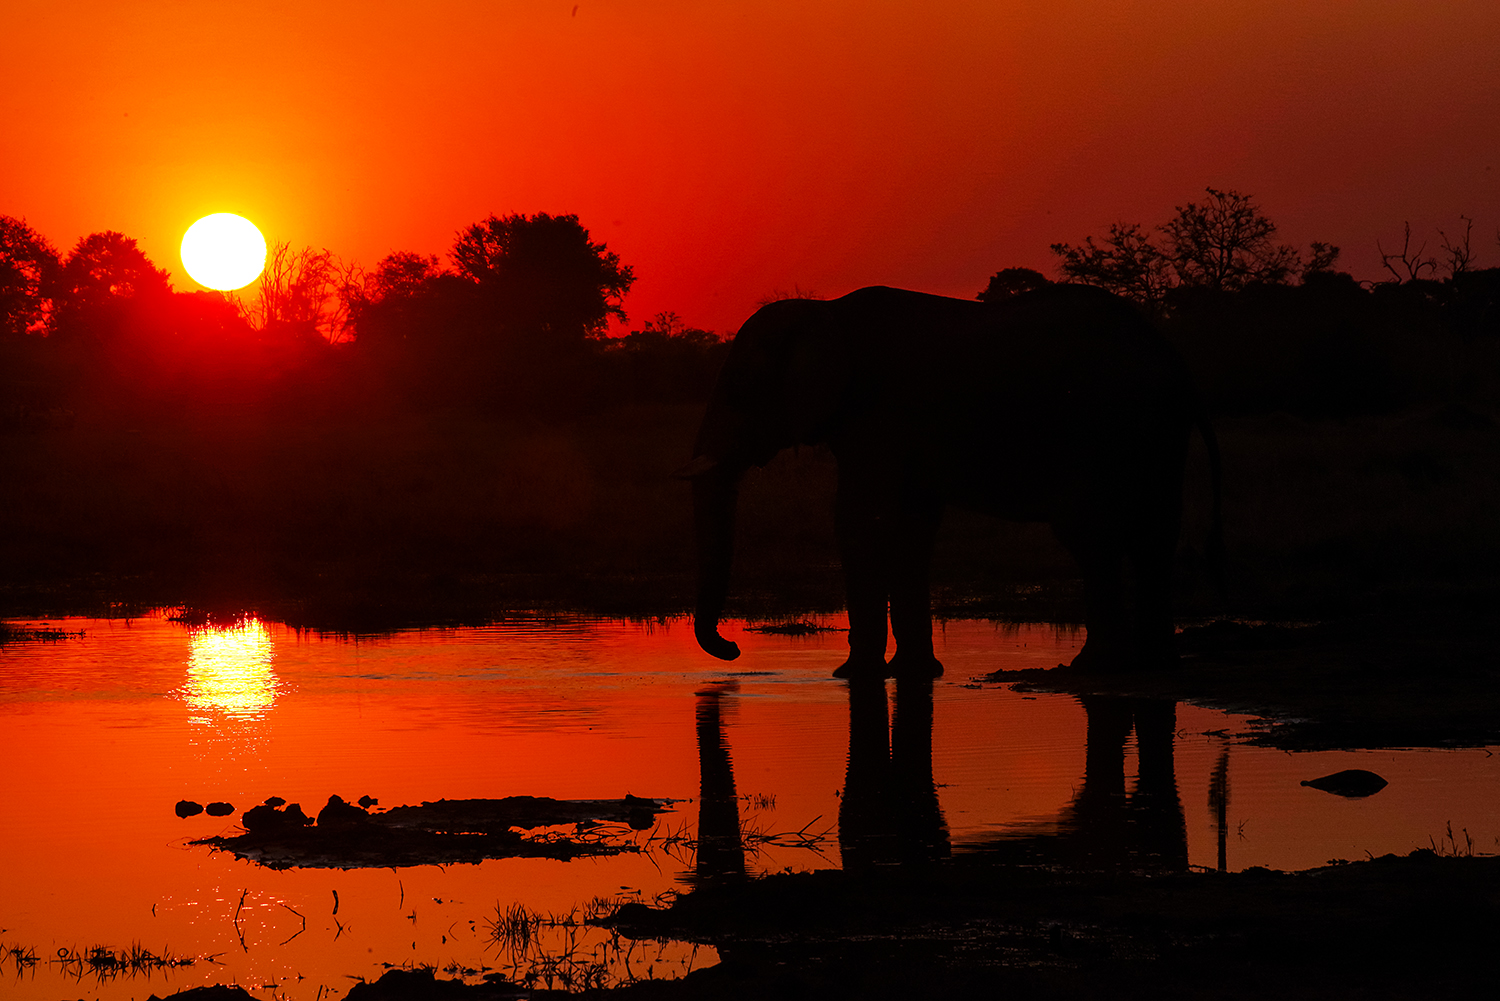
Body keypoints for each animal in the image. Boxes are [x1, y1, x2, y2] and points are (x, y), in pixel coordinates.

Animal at [687, 289, 1224, 681]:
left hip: (1104, 424)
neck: (826, 311)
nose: (732, 650)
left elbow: (861, 522)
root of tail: (1174, 360)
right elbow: (912, 527)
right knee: (1155, 535)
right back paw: (1155, 666)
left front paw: (851, 677)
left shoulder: (879, 416)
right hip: (1155, 429)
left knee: (1091, 534)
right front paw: (915, 674)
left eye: (738, 387)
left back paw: (1092, 670)